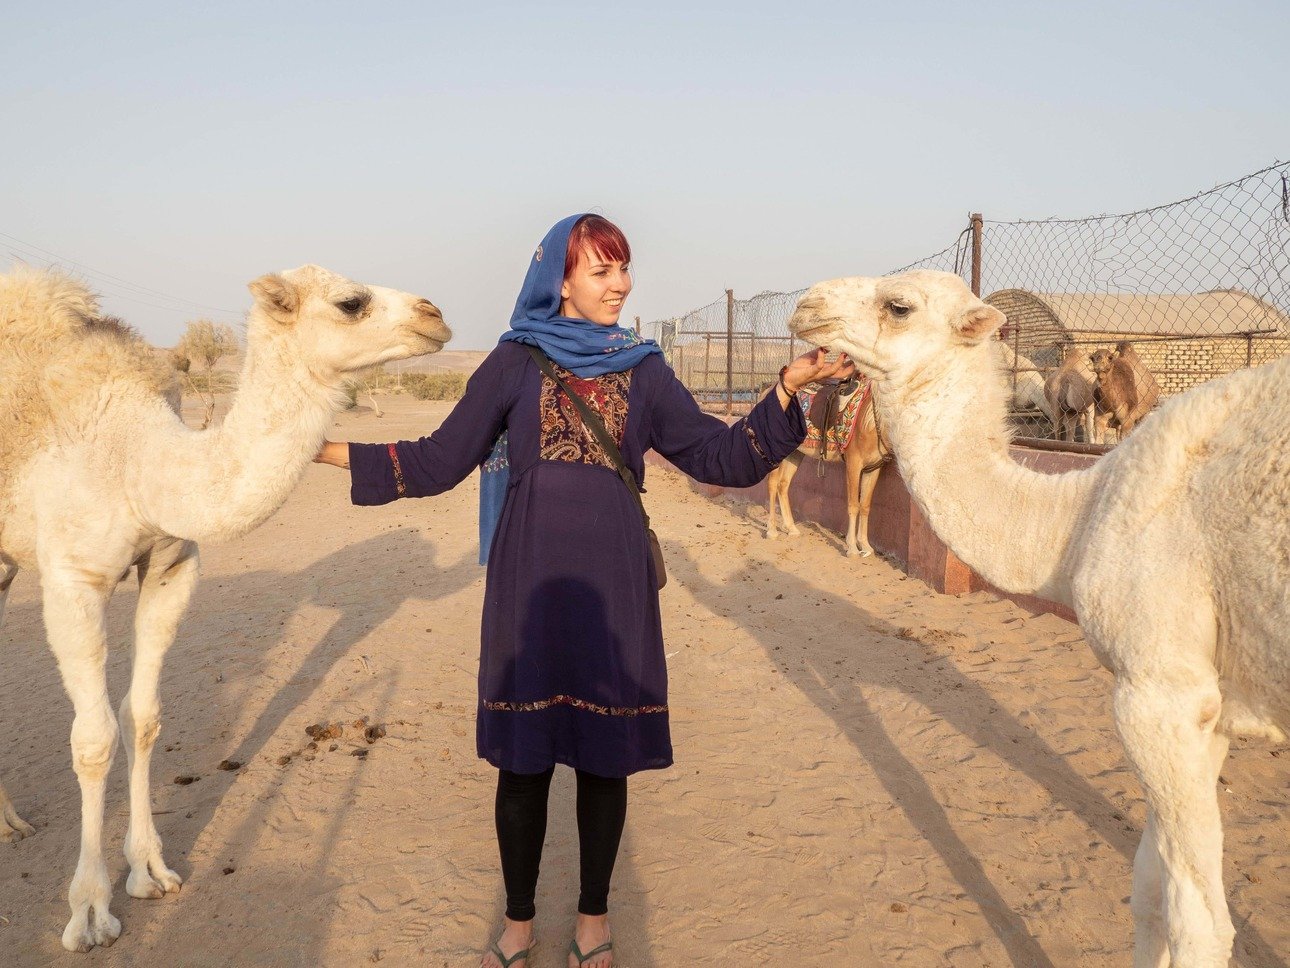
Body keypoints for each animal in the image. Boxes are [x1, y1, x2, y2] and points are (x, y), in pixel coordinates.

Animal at [1, 265, 448, 955]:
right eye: (351, 302)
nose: (436, 316)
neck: (137, 461)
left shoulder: (171, 565)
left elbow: (143, 716)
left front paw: (150, 871)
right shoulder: (72, 580)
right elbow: (94, 739)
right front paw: (89, 912)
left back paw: (9, 824)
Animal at [789, 269, 1284, 968]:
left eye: (899, 305)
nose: (806, 305)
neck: (1077, 517)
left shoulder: (1160, 690)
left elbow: (1198, 920)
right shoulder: (1202, 707)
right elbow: (1148, 887)